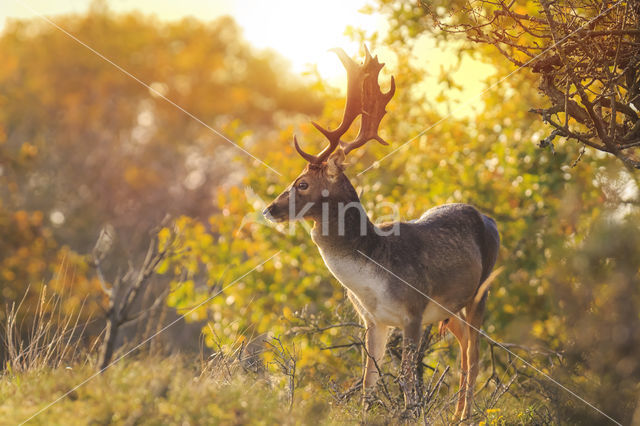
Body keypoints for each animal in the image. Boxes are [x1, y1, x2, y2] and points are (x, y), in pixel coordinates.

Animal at [264, 46, 500, 420]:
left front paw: (413, 414)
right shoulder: (373, 320)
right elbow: (368, 382)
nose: (269, 209)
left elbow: (407, 379)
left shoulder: (414, 310)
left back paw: (464, 417)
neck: (374, 273)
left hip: (481, 292)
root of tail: (489, 219)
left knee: (474, 356)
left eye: (302, 183)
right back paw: (457, 413)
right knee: (464, 347)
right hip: (450, 309)